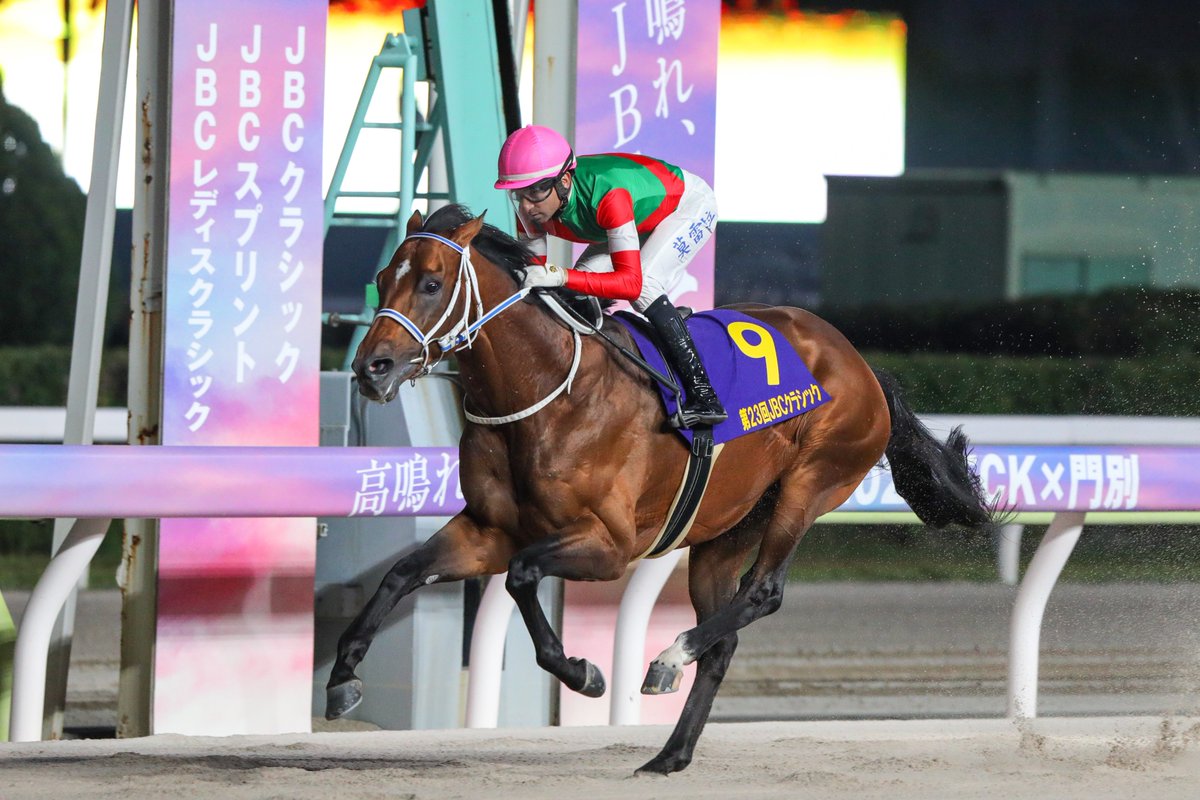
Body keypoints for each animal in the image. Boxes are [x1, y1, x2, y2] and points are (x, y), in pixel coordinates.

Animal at [326, 204, 995, 775]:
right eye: (383, 278)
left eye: (432, 283)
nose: (370, 368)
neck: (545, 392)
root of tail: (861, 363)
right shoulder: (488, 530)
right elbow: (402, 573)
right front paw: (341, 679)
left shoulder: (609, 545)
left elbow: (520, 576)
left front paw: (584, 673)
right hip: (729, 525)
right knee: (725, 635)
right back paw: (670, 753)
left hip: (810, 484)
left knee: (763, 592)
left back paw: (670, 659)